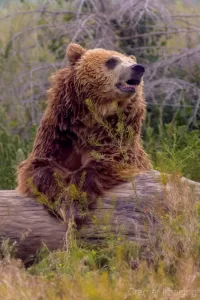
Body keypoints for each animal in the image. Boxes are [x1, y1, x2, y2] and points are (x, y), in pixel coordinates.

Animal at [17, 41, 151, 206]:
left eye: (129, 60)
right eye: (112, 61)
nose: (138, 68)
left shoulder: (114, 135)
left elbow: (108, 161)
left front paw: (76, 199)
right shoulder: (60, 133)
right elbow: (41, 165)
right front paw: (59, 197)